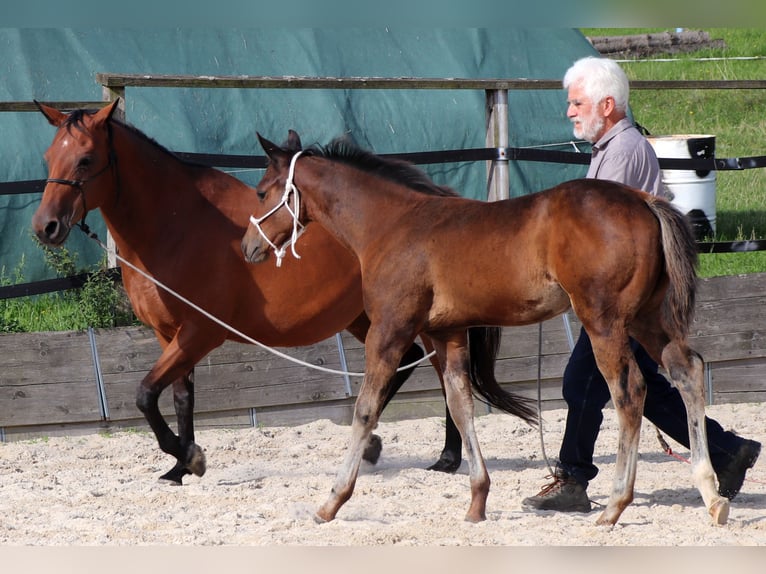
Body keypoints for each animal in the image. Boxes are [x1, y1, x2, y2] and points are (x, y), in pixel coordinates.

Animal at [30, 101, 535, 486]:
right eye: (48, 157)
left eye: (86, 160)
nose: (45, 227)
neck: (177, 225)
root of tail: (436, 197)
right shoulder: (168, 334)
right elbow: (177, 398)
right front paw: (179, 467)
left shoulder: (199, 333)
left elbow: (144, 394)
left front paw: (189, 457)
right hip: (366, 318)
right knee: (415, 366)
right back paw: (387, 447)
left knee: (444, 373)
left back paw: (446, 459)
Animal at [241, 130, 730, 526]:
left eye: (262, 192)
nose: (247, 248)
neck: (392, 225)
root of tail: (645, 201)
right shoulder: (447, 335)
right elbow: (461, 407)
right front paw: (476, 503)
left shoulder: (391, 330)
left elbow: (365, 410)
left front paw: (330, 502)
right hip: (647, 318)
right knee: (687, 371)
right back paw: (712, 493)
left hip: (605, 322)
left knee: (629, 391)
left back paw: (614, 506)